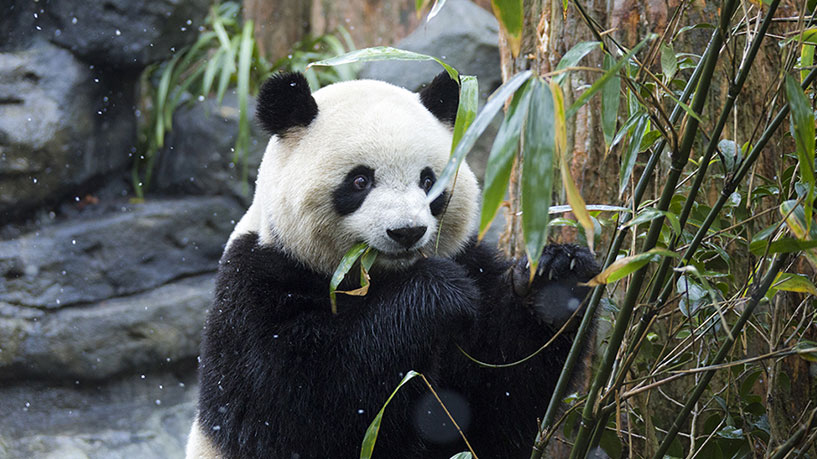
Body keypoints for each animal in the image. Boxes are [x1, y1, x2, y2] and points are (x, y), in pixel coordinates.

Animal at [185, 71, 599, 459]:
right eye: (359, 180)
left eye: (429, 180)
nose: (407, 231)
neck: (378, 277)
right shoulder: (254, 286)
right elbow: (299, 404)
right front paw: (436, 294)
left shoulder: (469, 258)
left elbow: (503, 393)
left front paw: (559, 277)